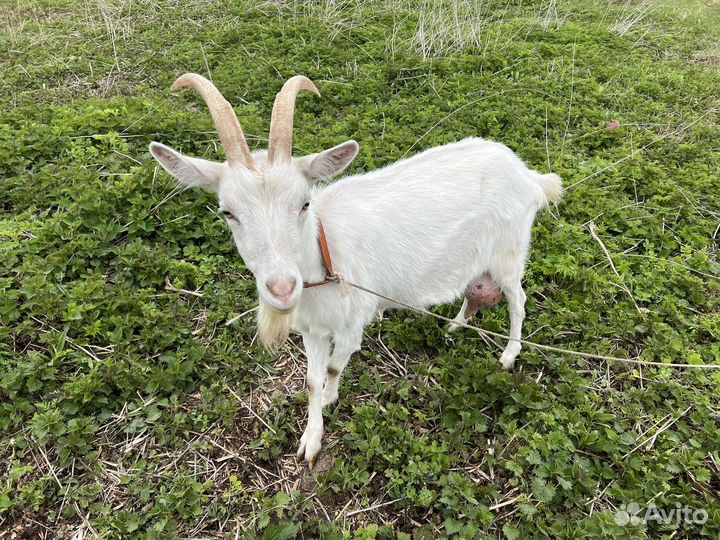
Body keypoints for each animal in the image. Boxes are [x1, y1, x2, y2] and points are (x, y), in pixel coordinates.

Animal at [149, 74, 562, 467]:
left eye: (304, 203)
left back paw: (509, 355)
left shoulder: (352, 324)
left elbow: (334, 368)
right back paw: (455, 326)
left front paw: (331, 398)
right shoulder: (312, 330)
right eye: (227, 212)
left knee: (518, 299)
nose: (282, 289)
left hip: (509, 252)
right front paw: (310, 441)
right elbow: (312, 380)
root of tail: (528, 176)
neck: (325, 255)